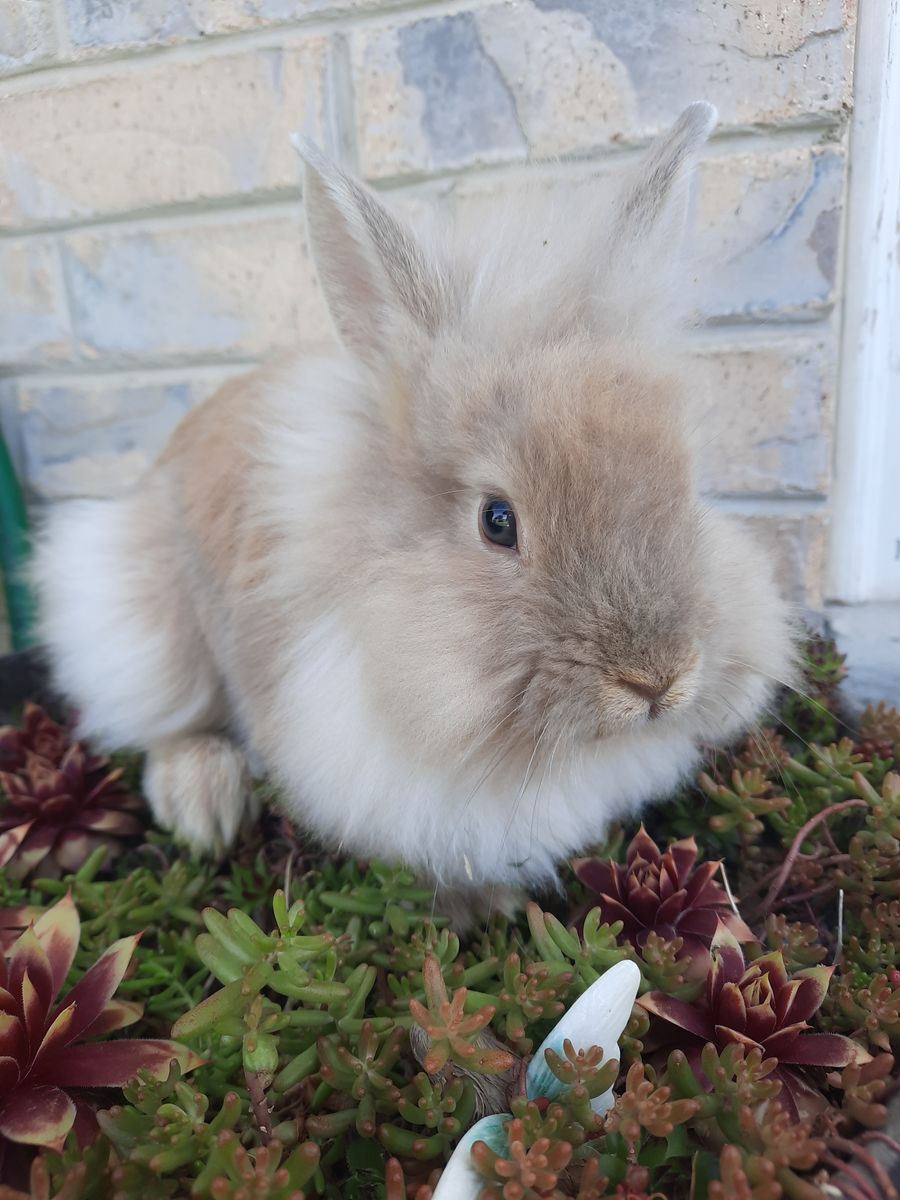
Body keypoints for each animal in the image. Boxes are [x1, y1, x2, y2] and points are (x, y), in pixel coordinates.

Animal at [33, 102, 795, 909]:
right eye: (498, 521)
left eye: (688, 484)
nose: (656, 680)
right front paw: (488, 908)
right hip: (137, 623)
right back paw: (202, 805)